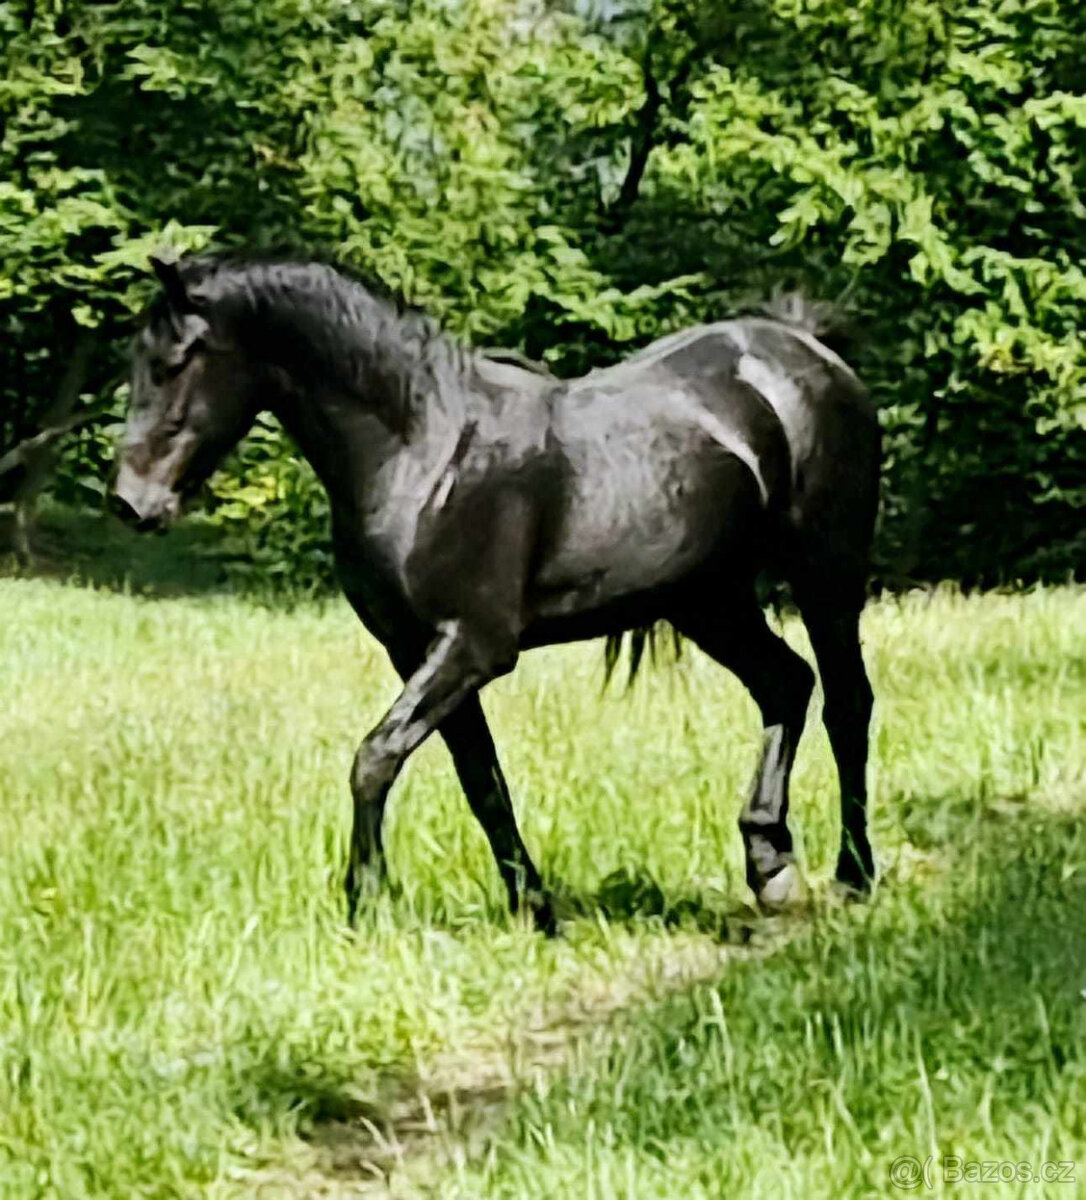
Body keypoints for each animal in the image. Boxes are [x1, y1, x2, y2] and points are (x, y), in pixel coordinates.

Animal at [114, 250, 883, 926]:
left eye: (176, 361)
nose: (130, 501)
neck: (423, 451)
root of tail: (806, 351)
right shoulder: (415, 651)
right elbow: (481, 780)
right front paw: (534, 908)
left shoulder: (474, 645)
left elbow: (374, 759)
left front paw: (366, 904)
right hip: (709, 602)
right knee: (786, 685)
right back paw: (770, 865)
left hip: (825, 576)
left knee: (846, 703)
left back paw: (853, 874)